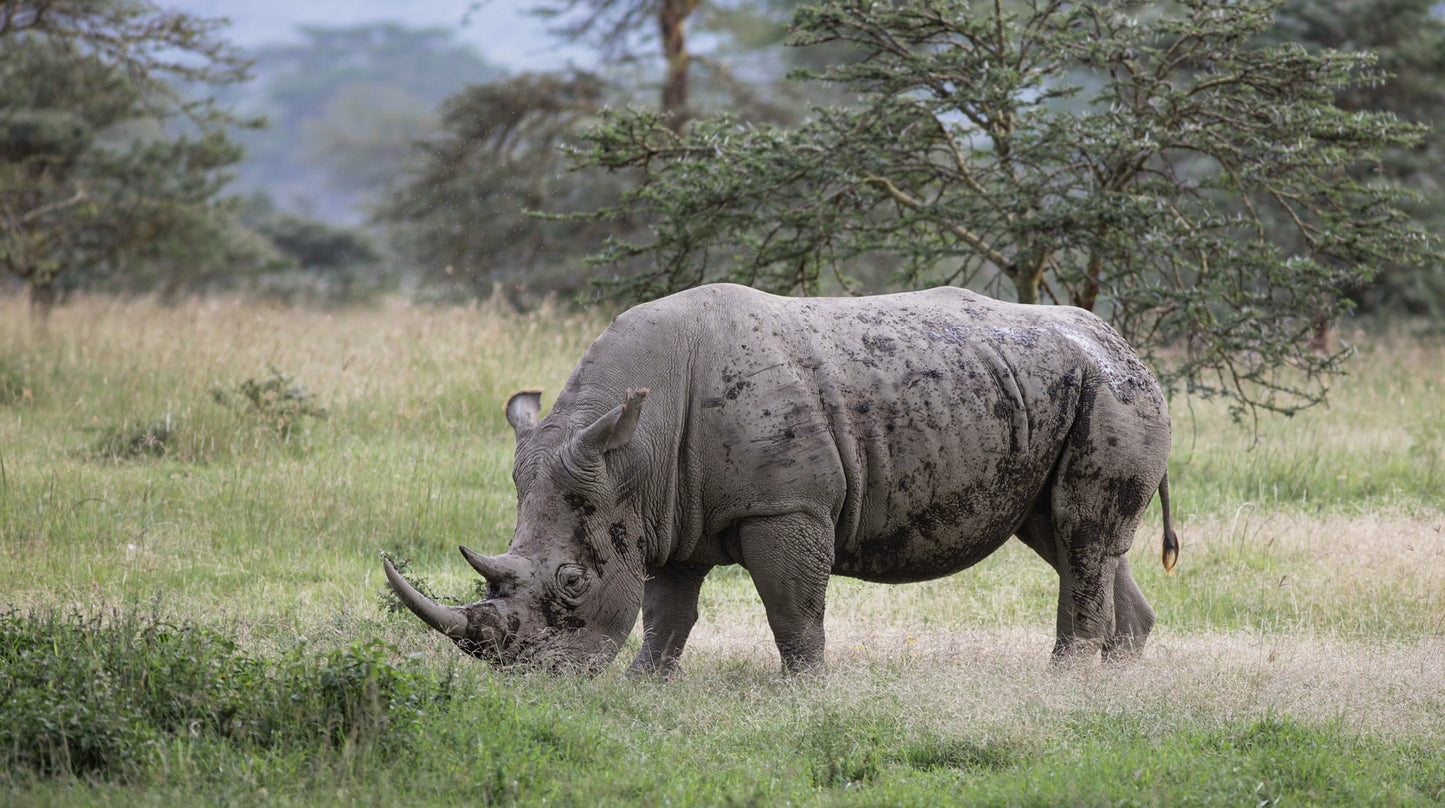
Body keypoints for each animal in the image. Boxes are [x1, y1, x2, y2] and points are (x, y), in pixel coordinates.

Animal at [384, 284, 1173, 676]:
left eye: (572, 583)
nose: (529, 682)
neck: (633, 452)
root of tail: (1123, 344)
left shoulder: (785, 506)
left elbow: (794, 609)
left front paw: (807, 693)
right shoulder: (664, 513)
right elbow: (665, 612)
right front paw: (647, 685)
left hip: (1113, 394)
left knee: (1079, 535)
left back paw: (1064, 682)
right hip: (1055, 392)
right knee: (1069, 539)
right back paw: (1111, 681)